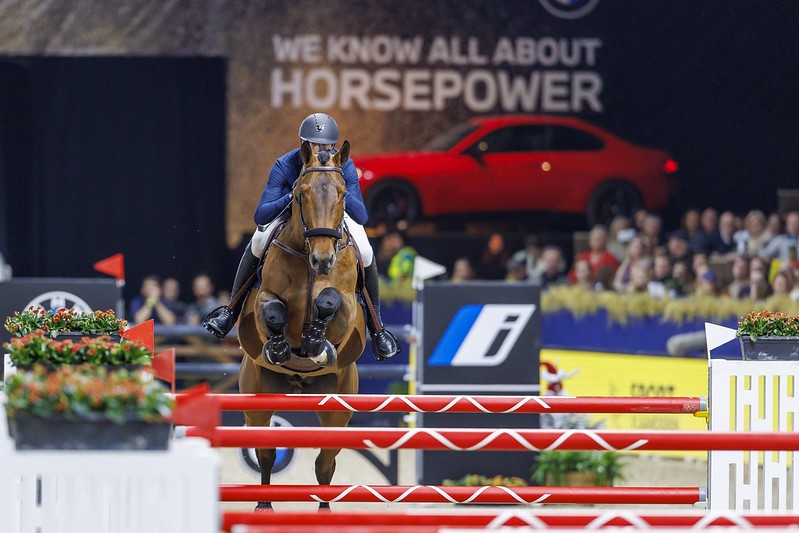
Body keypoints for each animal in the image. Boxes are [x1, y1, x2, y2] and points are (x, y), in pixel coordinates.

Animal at [234, 140, 366, 512]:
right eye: (301, 194)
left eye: (343, 193)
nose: (323, 260)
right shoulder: (262, 300)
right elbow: (273, 311)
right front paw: (280, 347)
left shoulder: (349, 311)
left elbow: (331, 303)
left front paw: (316, 345)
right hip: (257, 399)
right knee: (266, 453)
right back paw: (264, 505)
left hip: (338, 409)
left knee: (325, 462)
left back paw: (323, 510)